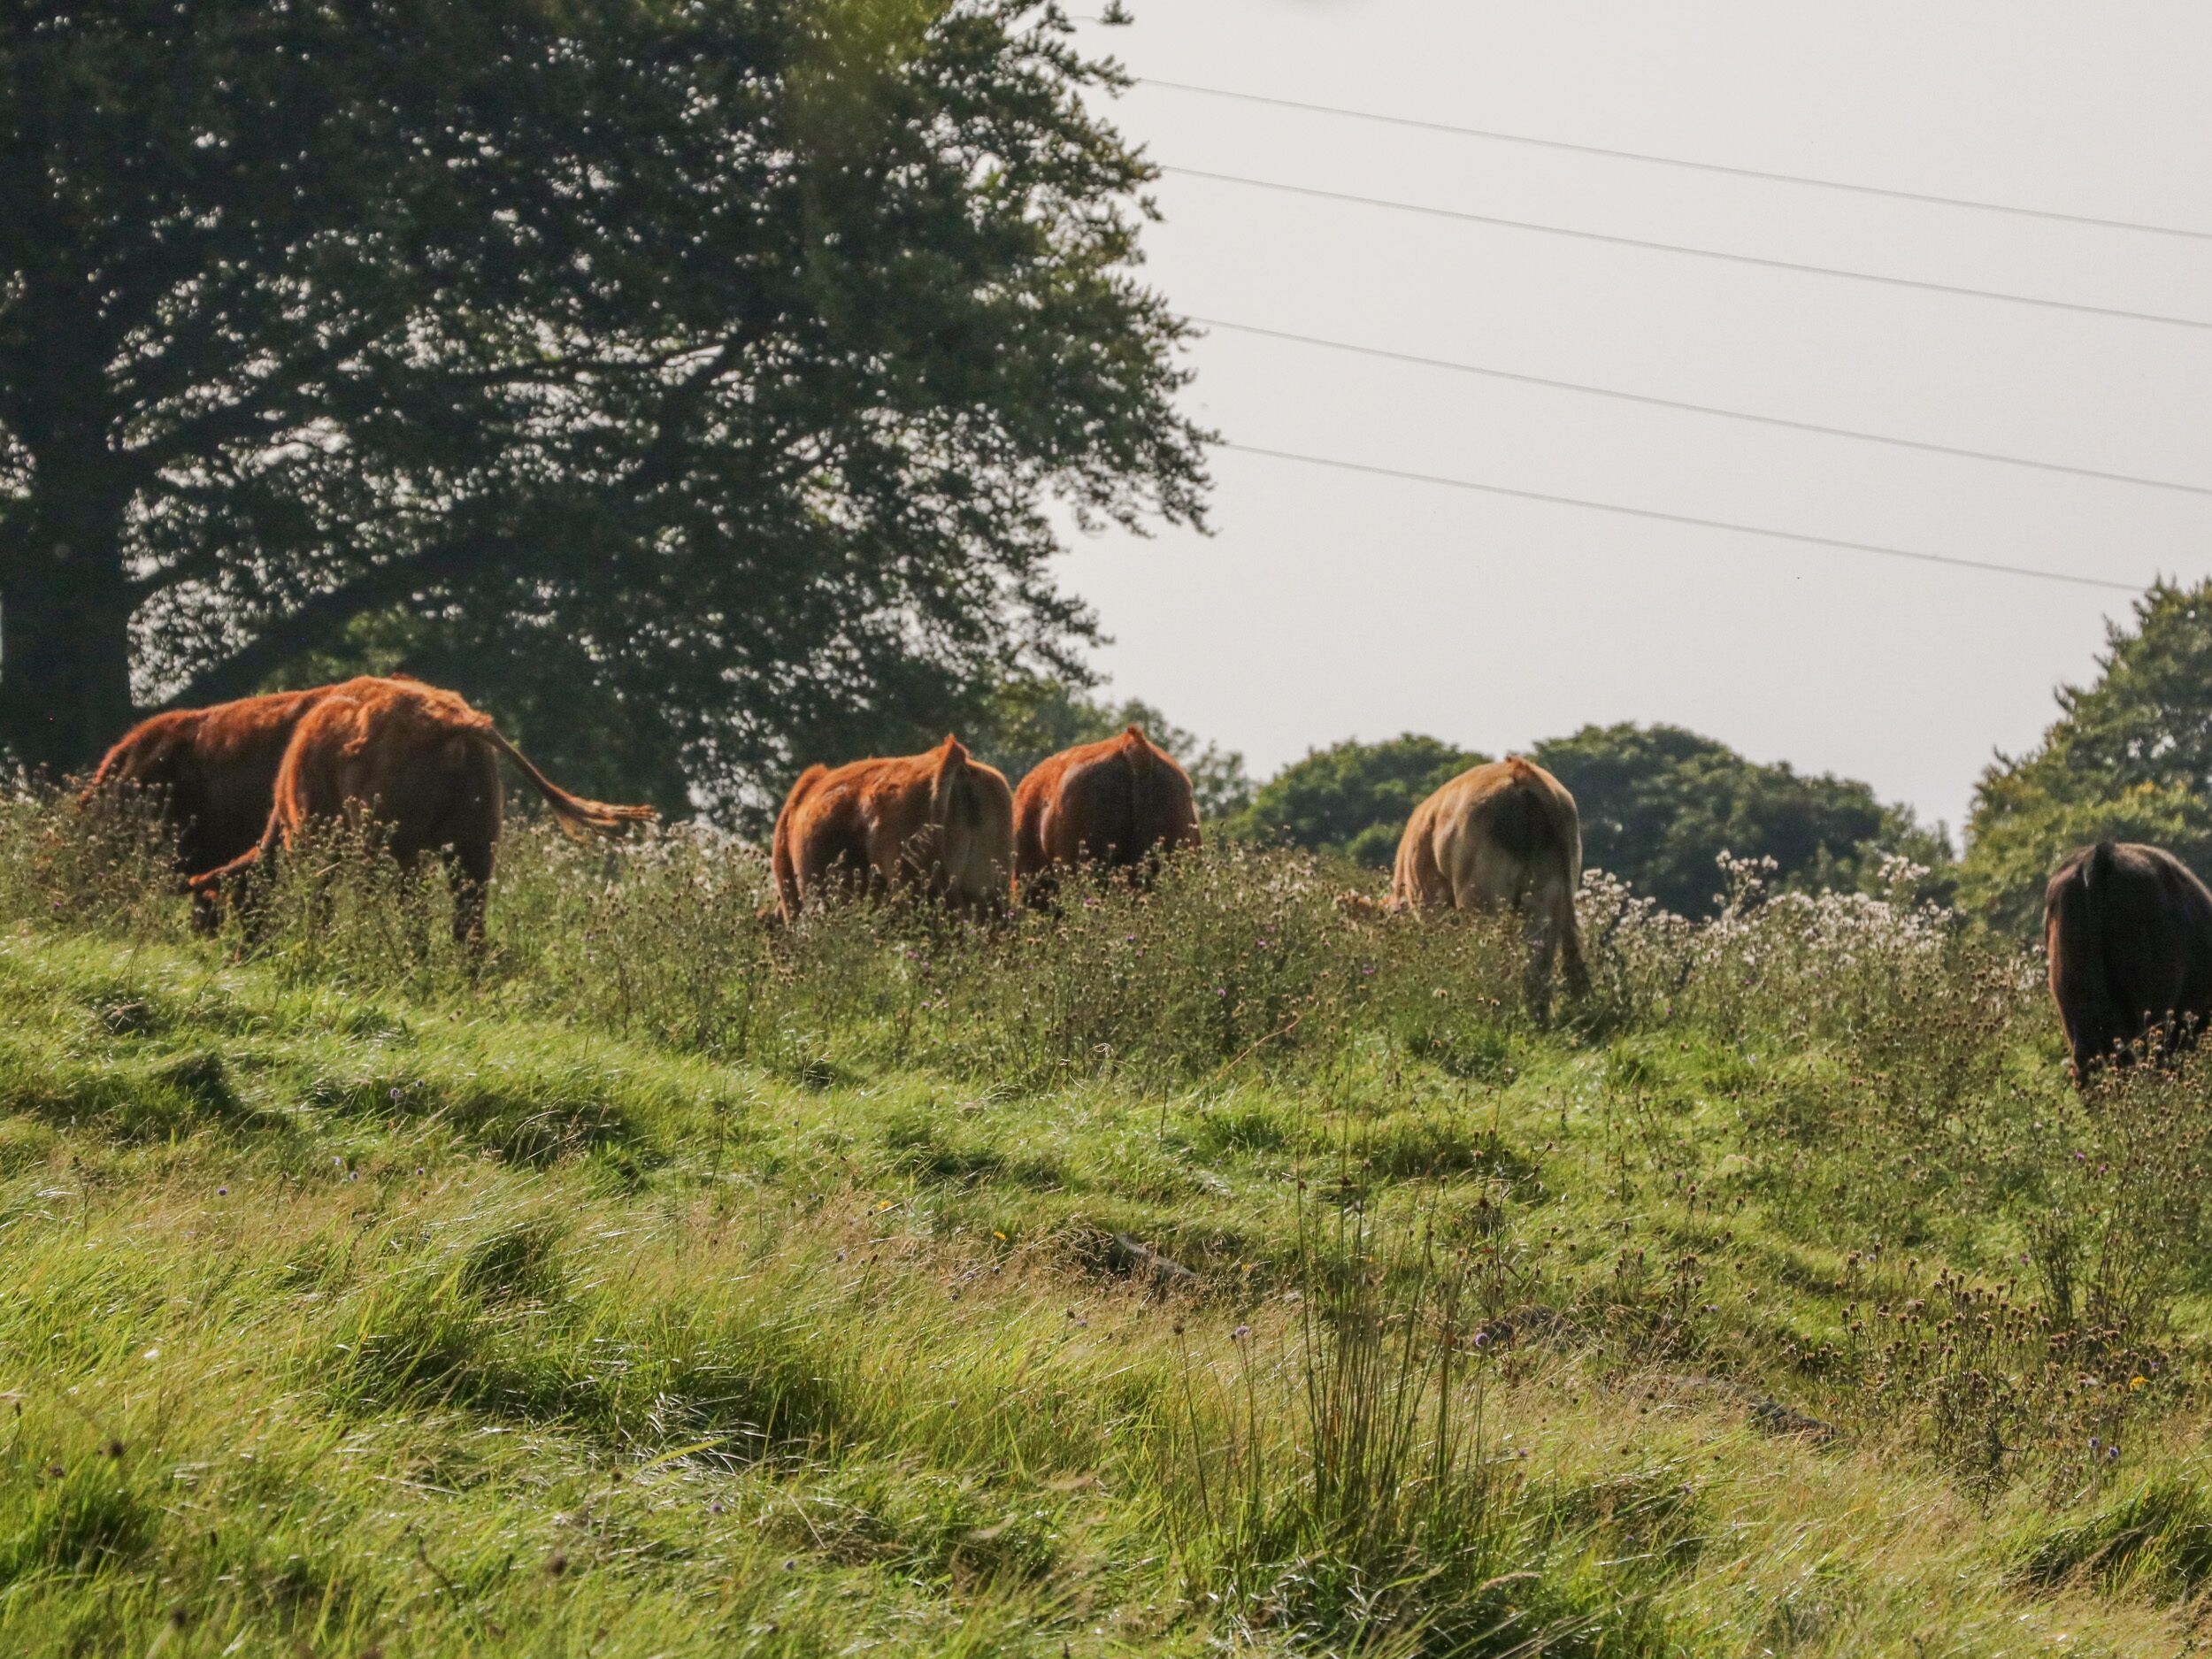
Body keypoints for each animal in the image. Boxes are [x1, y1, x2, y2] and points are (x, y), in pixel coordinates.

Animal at [187, 677, 653, 946]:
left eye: (223, 899)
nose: (208, 939)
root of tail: (455, 720)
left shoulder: (313, 841)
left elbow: (320, 899)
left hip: (396, 842)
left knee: (411, 910)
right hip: (475, 843)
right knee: (468, 921)